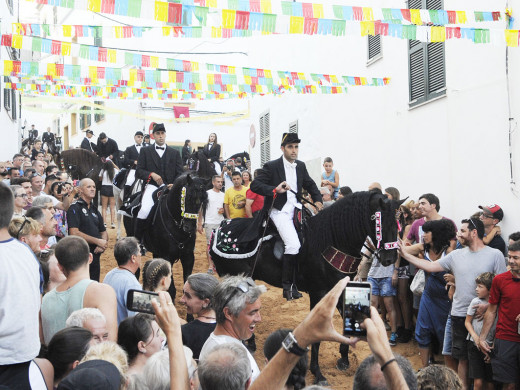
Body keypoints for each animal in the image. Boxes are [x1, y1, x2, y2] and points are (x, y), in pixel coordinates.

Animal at [209, 190, 404, 386]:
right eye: (379, 223)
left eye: (397, 224)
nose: (390, 259)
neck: (331, 241)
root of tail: (219, 229)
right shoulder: (318, 293)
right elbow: (316, 337)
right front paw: (318, 373)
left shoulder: (342, 288)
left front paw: (344, 359)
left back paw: (250, 342)